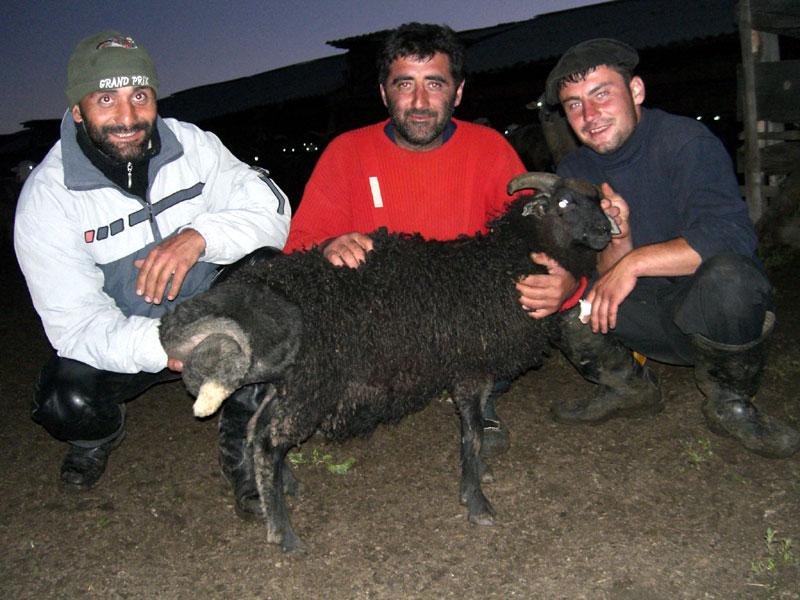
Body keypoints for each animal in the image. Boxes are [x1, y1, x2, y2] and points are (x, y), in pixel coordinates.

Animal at [159, 172, 612, 553]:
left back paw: (285, 491)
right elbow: (471, 434)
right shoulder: (468, 368)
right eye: (564, 203)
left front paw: (480, 475)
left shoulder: (479, 367)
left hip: (293, 383)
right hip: (312, 386)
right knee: (270, 442)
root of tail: (255, 287)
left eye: (598, 201)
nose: (607, 231)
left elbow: (479, 424)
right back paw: (283, 533)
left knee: (257, 432)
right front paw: (477, 503)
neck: (504, 262)